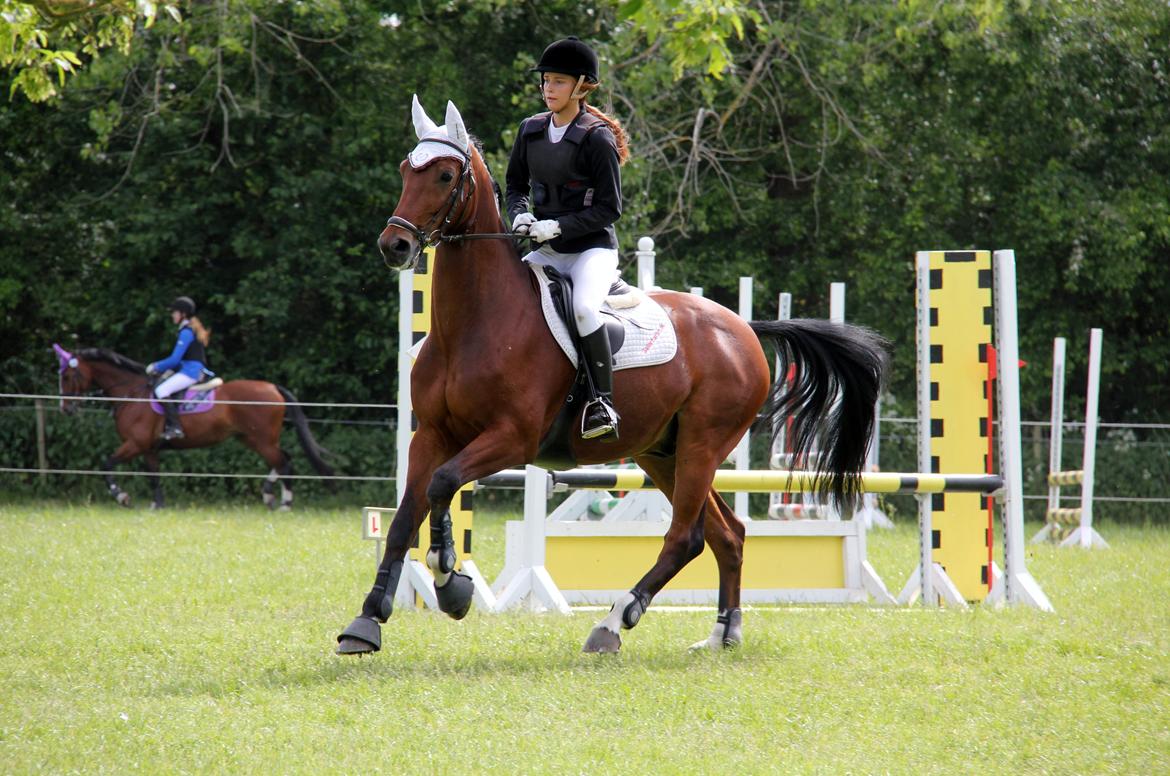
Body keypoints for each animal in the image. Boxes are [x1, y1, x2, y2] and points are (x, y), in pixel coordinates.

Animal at [52, 346, 332, 510]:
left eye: (67, 376)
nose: (65, 408)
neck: (131, 393)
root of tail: (273, 387)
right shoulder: (149, 449)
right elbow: (154, 476)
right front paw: (157, 505)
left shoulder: (135, 444)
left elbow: (107, 465)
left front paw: (121, 496)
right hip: (251, 438)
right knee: (284, 458)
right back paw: (270, 495)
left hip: (261, 439)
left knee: (284, 462)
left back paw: (283, 502)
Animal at [339, 97, 884, 655]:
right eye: (406, 170)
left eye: (446, 176)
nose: (394, 245)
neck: (473, 323)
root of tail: (742, 329)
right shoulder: (431, 434)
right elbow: (406, 516)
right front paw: (367, 621)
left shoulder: (512, 438)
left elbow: (444, 484)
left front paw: (451, 580)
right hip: (662, 454)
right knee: (726, 534)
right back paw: (722, 632)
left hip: (701, 446)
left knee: (685, 538)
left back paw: (613, 622)